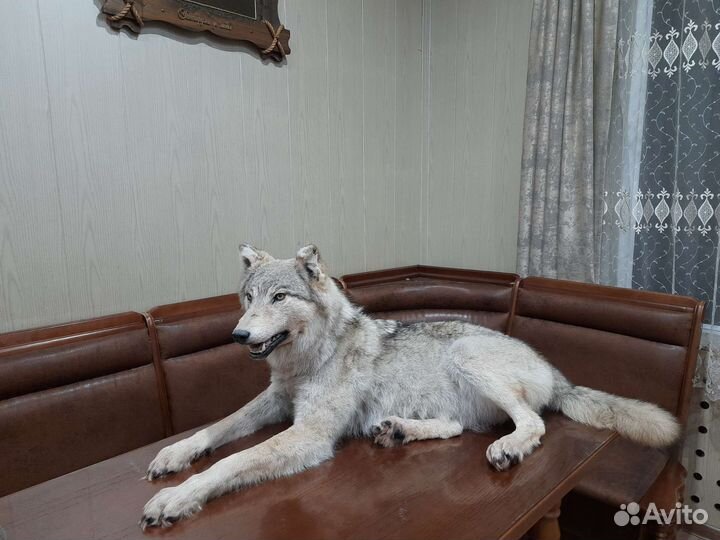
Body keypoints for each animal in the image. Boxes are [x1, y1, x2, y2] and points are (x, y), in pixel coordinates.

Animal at [140, 244, 680, 529]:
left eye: (278, 297)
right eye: (248, 298)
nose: (237, 335)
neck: (311, 357)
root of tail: (555, 371)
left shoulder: (311, 434)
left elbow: (232, 460)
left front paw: (178, 497)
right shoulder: (276, 399)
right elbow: (218, 428)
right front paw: (175, 454)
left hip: (469, 359)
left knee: (532, 424)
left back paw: (507, 448)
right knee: (455, 429)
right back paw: (398, 431)